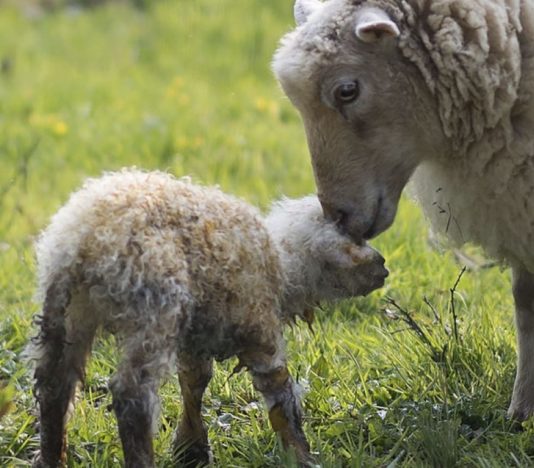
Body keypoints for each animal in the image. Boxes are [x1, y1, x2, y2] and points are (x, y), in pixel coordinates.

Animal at [31, 169, 388, 468]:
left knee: (54, 382)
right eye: (357, 239)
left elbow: (194, 382)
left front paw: (190, 449)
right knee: (132, 395)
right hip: (154, 307)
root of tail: (87, 236)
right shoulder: (260, 328)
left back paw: (50, 458)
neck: (285, 267)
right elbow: (280, 395)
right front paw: (302, 456)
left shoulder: (196, 337)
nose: (384, 266)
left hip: (66, 310)